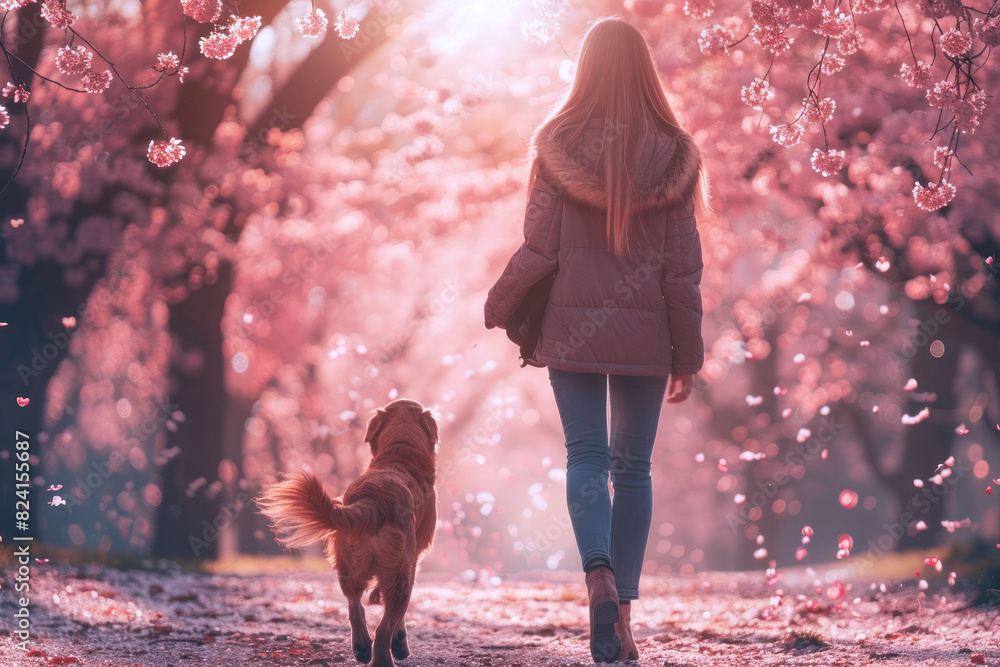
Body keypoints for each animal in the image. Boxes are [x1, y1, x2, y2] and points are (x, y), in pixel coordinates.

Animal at [254, 400, 438, 664]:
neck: (400, 456)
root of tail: (374, 501)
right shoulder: (414, 559)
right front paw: (400, 643)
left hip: (347, 565)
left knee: (354, 606)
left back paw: (361, 648)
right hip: (400, 576)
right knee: (383, 627)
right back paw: (384, 658)